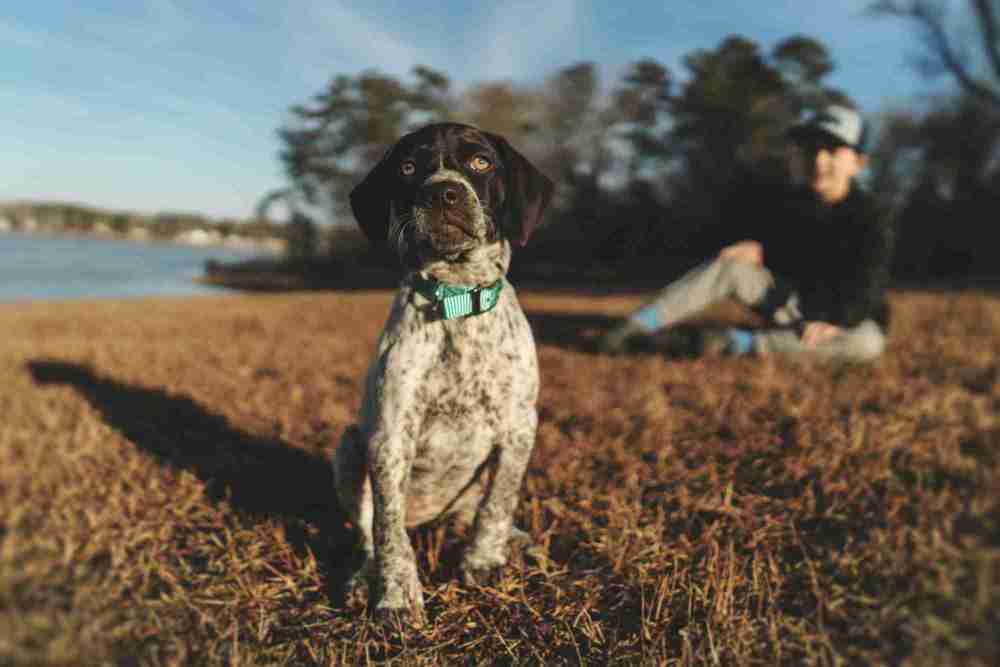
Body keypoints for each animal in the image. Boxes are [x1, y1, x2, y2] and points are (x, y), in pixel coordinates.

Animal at [334, 121, 556, 628]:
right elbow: (388, 529)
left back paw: (518, 542)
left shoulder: (519, 428)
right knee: (369, 532)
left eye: (481, 162)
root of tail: (430, 519)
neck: (457, 299)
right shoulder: (390, 436)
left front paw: (484, 561)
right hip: (349, 447)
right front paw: (397, 595)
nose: (443, 193)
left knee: (472, 512)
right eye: (407, 167)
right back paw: (363, 579)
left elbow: (498, 504)